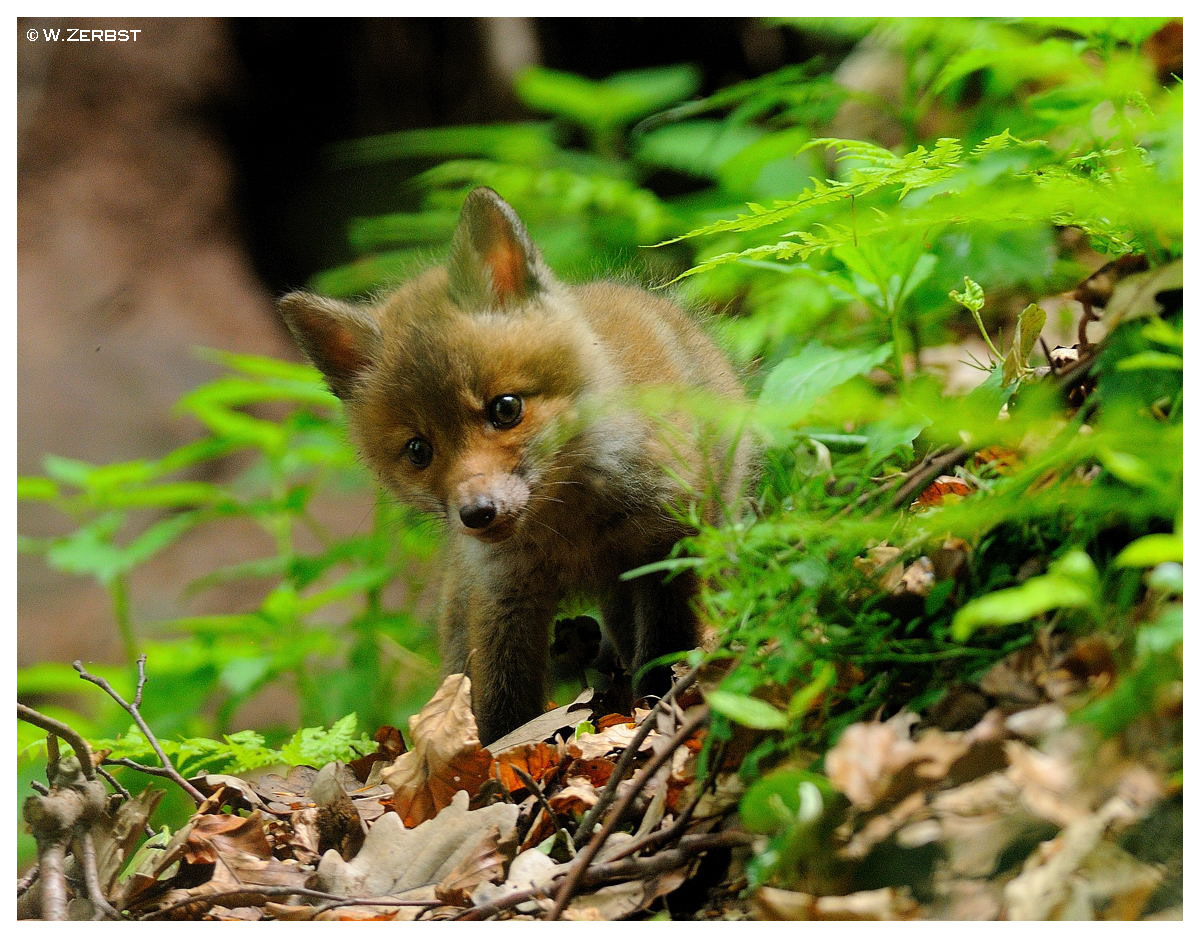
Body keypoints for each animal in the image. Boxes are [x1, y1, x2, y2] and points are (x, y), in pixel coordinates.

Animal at [280, 189, 748, 748]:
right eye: (418, 451)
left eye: (505, 409)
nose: (476, 513)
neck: (572, 527)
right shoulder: (504, 592)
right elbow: (504, 704)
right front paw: (496, 756)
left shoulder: (667, 543)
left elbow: (664, 646)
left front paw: (654, 703)